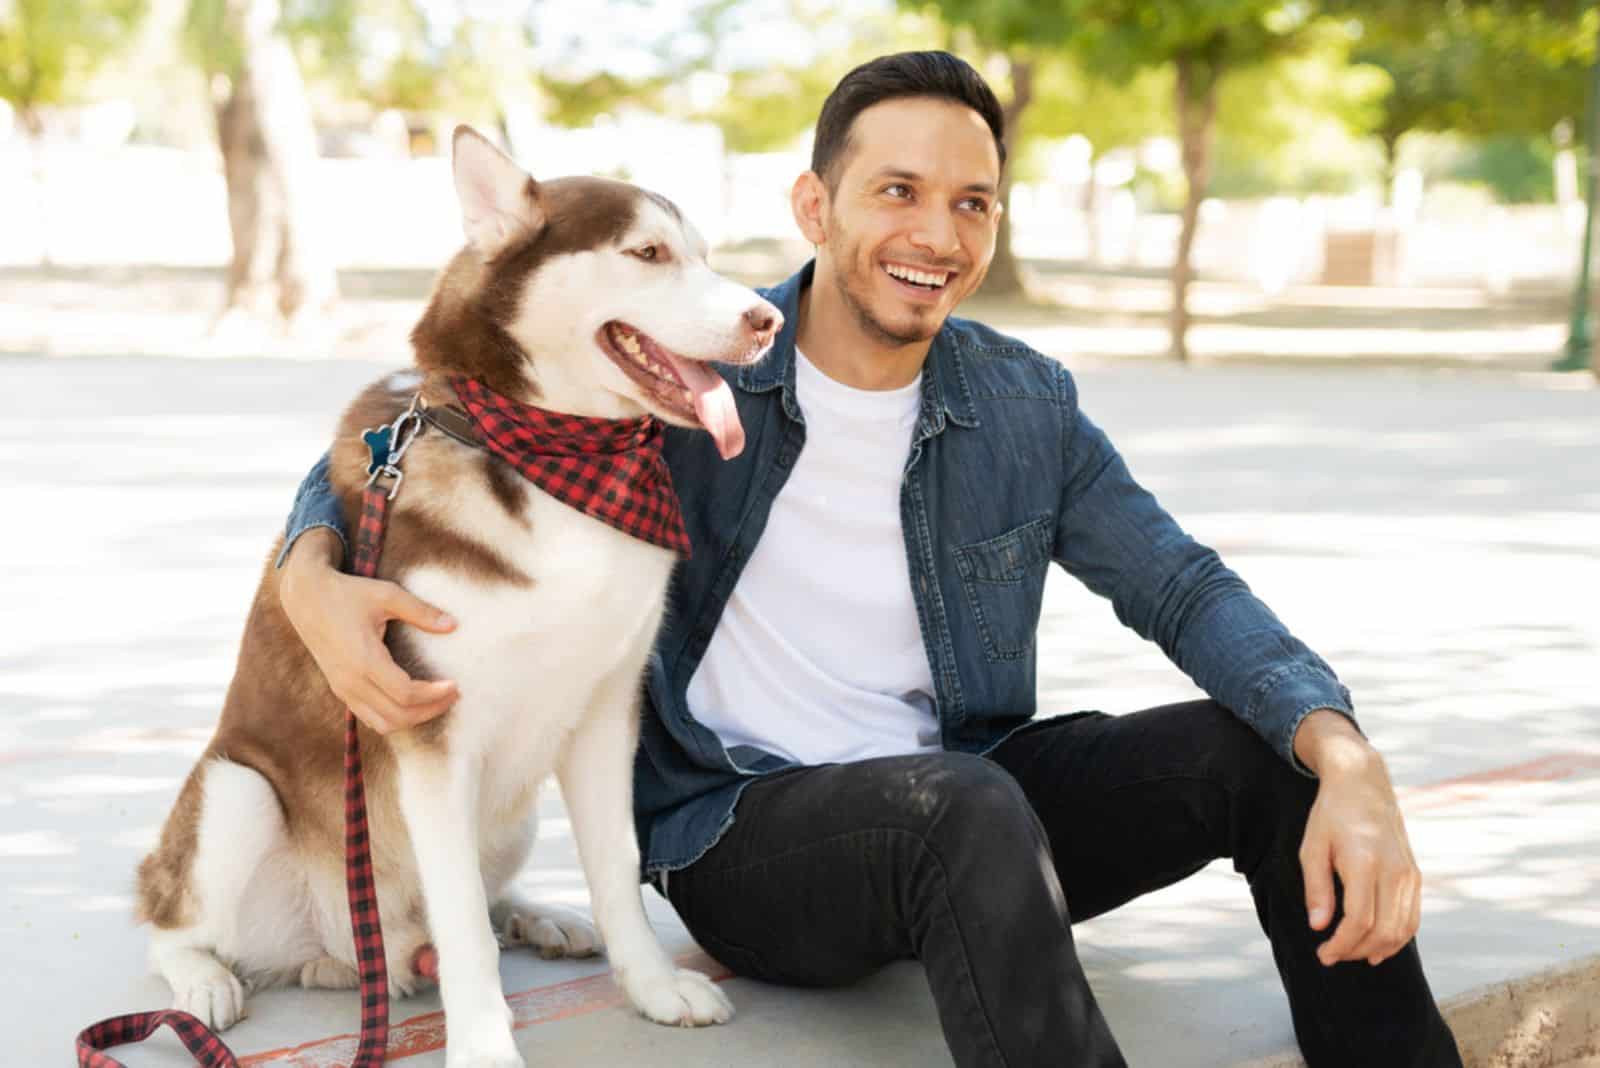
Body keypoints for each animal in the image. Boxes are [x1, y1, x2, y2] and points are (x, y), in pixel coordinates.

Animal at [137, 127, 780, 1068]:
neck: (556, 459)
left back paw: (541, 917)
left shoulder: (606, 708)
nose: (768, 322)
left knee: (488, 895)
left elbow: (615, 867)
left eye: (703, 255)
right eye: (648, 254)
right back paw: (203, 981)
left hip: (512, 813)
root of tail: (346, 954)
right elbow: (466, 928)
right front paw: (482, 1045)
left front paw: (653, 987)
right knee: (167, 922)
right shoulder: (429, 732)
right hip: (234, 795)